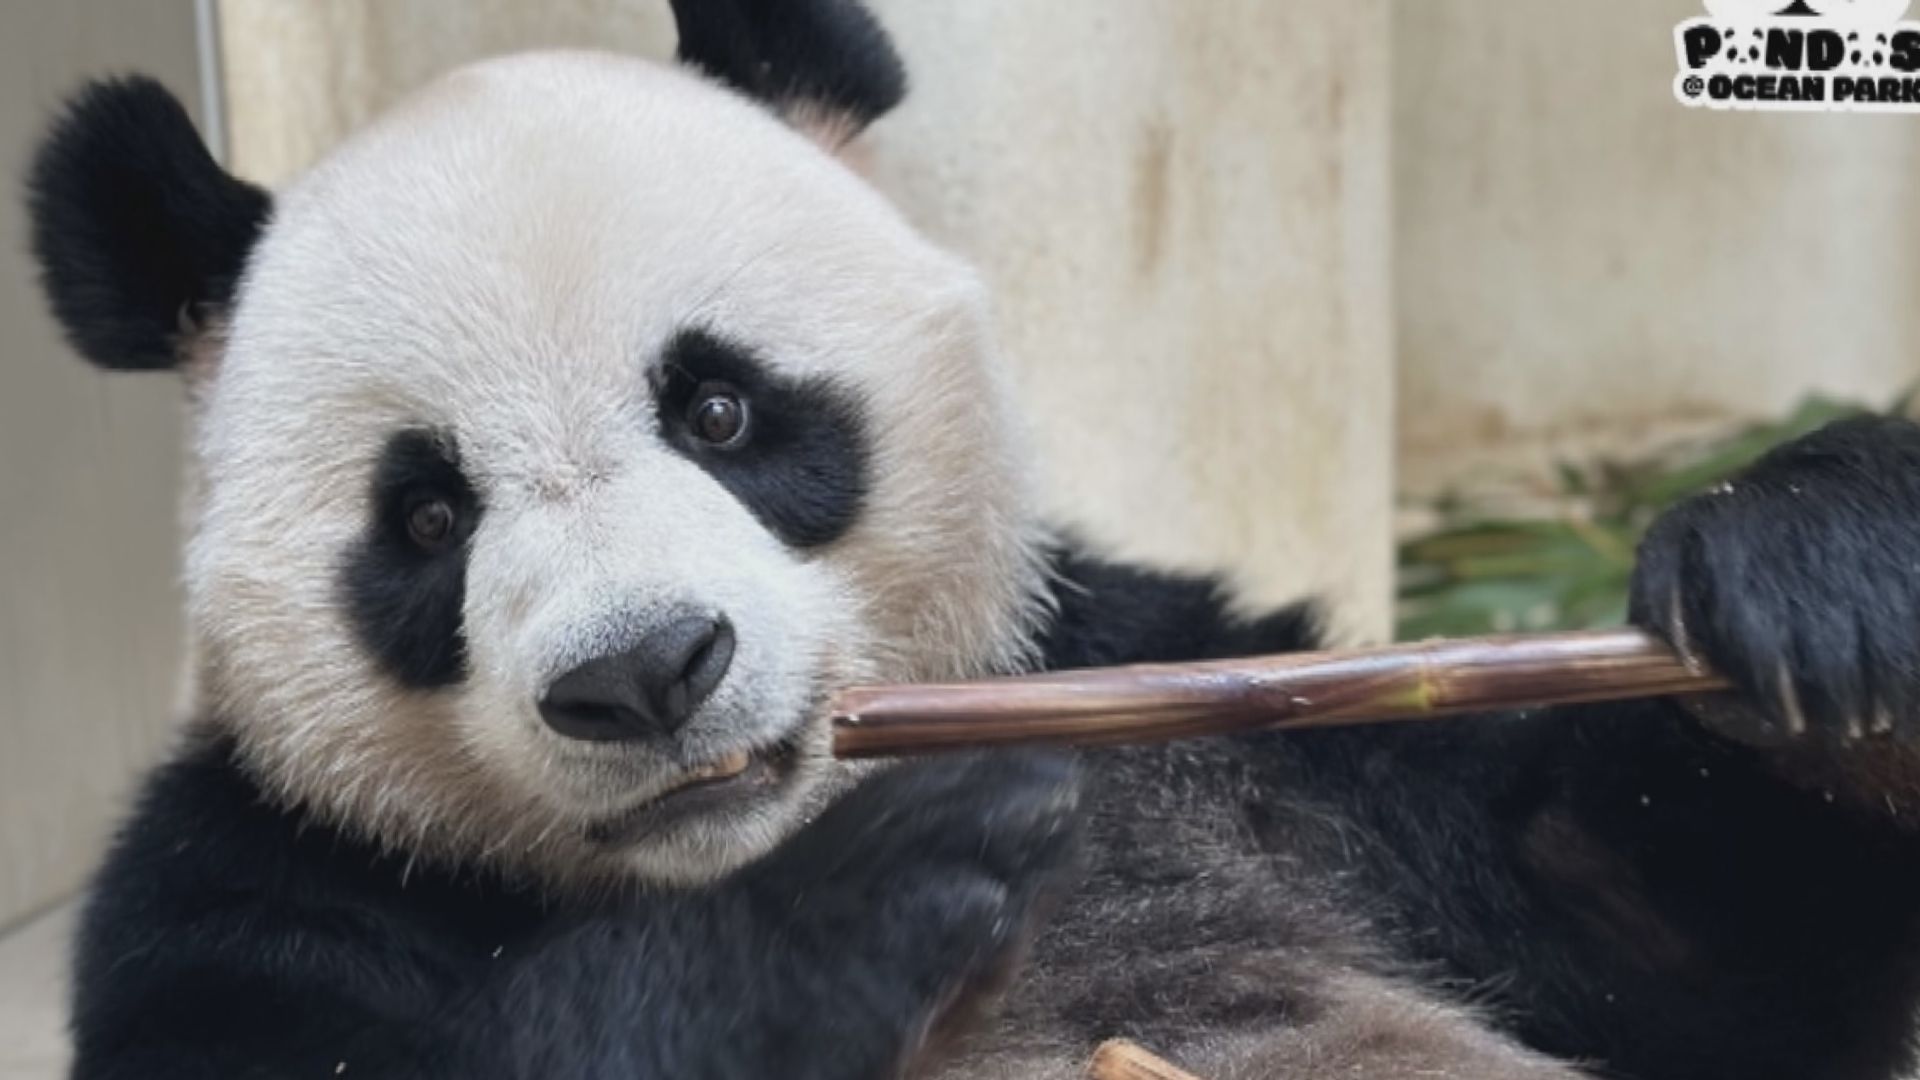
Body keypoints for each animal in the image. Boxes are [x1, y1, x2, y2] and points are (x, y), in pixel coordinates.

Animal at [22, 2, 1920, 1076]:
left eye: (720, 411)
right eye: (424, 517)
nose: (645, 676)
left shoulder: (1202, 710)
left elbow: (1687, 949)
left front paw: (1820, 571)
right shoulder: (261, 872)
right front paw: (843, 913)